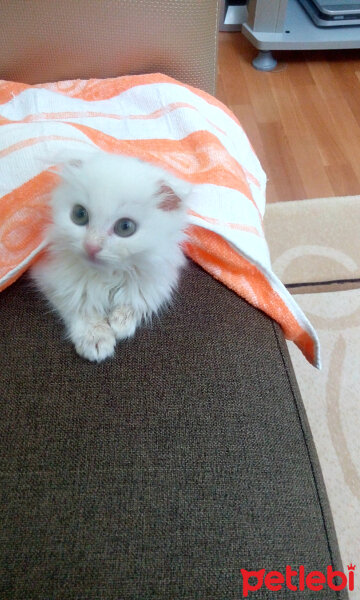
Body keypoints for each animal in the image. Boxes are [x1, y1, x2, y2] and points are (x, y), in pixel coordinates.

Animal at [31, 152, 193, 364]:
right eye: (79, 214)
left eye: (125, 227)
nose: (91, 246)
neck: (107, 276)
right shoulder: (48, 275)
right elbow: (79, 304)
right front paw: (95, 338)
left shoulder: (160, 277)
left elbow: (140, 298)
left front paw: (121, 322)